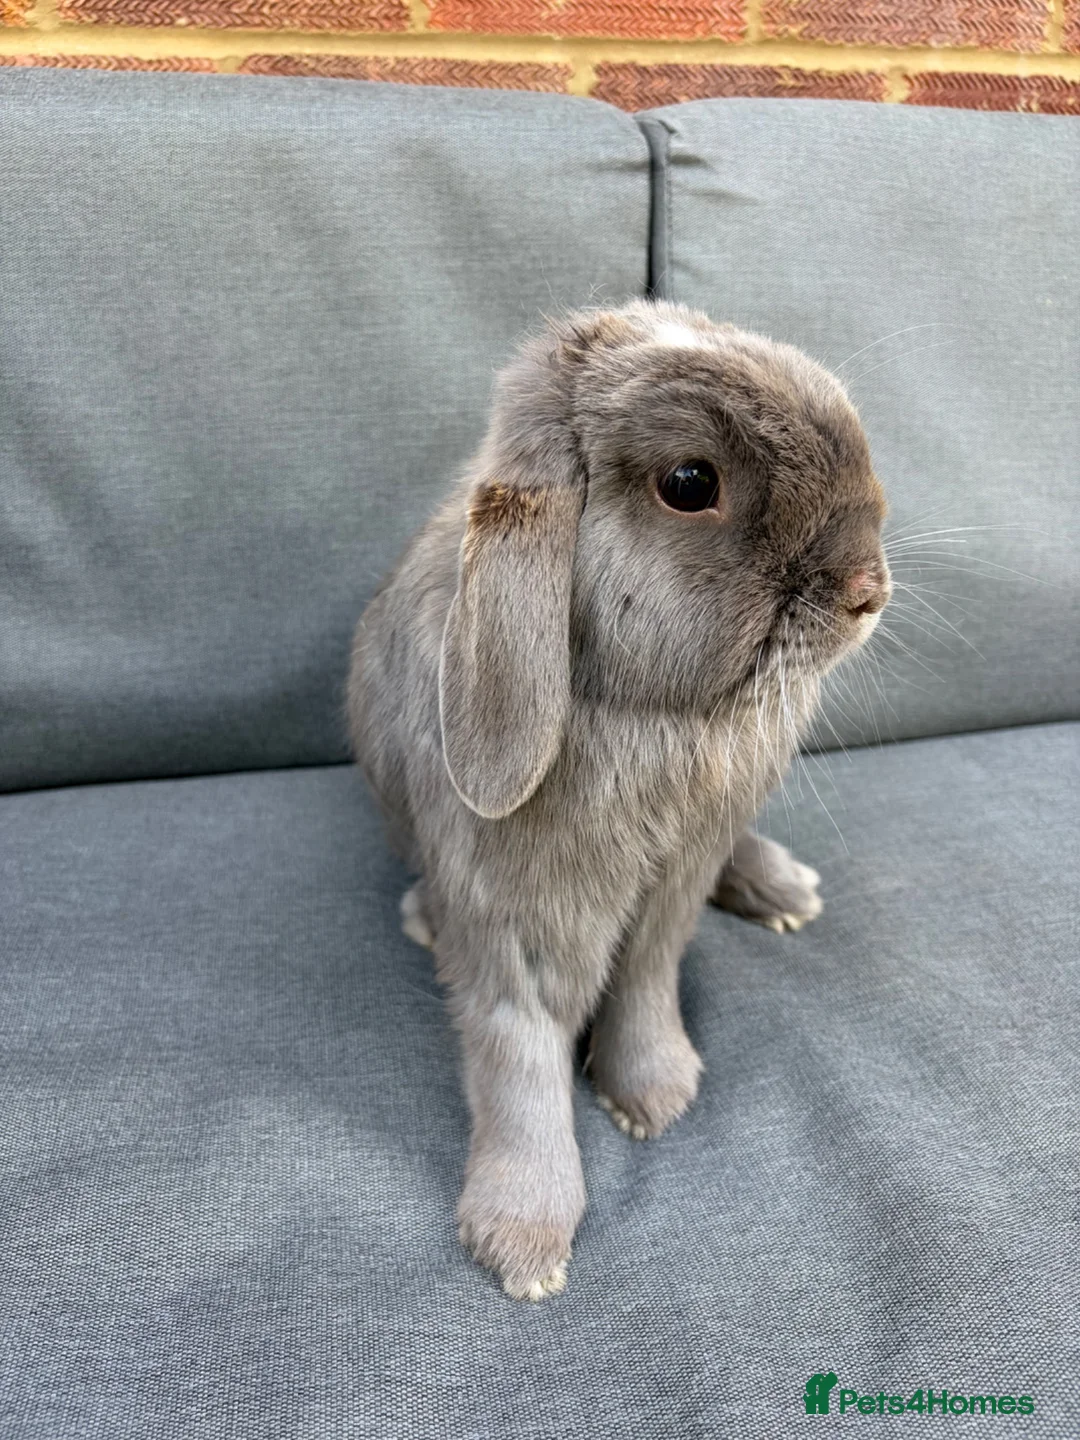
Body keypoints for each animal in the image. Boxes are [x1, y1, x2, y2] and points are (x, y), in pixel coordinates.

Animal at [347, 298, 890, 1301]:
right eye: (690, 482)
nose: (868, 591)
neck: (651, 717)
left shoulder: (674, 887)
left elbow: (645, 985)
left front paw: (655, 1098)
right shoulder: (514, 921)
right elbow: (518, 1057)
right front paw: (522, 1246)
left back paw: (786, 891)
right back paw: (421, 919)